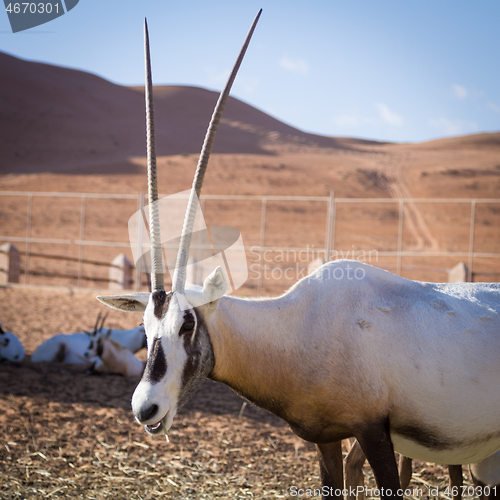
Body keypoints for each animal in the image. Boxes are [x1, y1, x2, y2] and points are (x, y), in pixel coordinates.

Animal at [97, 12, 500, 500]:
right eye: (144, 326)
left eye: (187, 325)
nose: (146, 408)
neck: (299, 329)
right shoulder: (327, 438)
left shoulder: (373, 431)